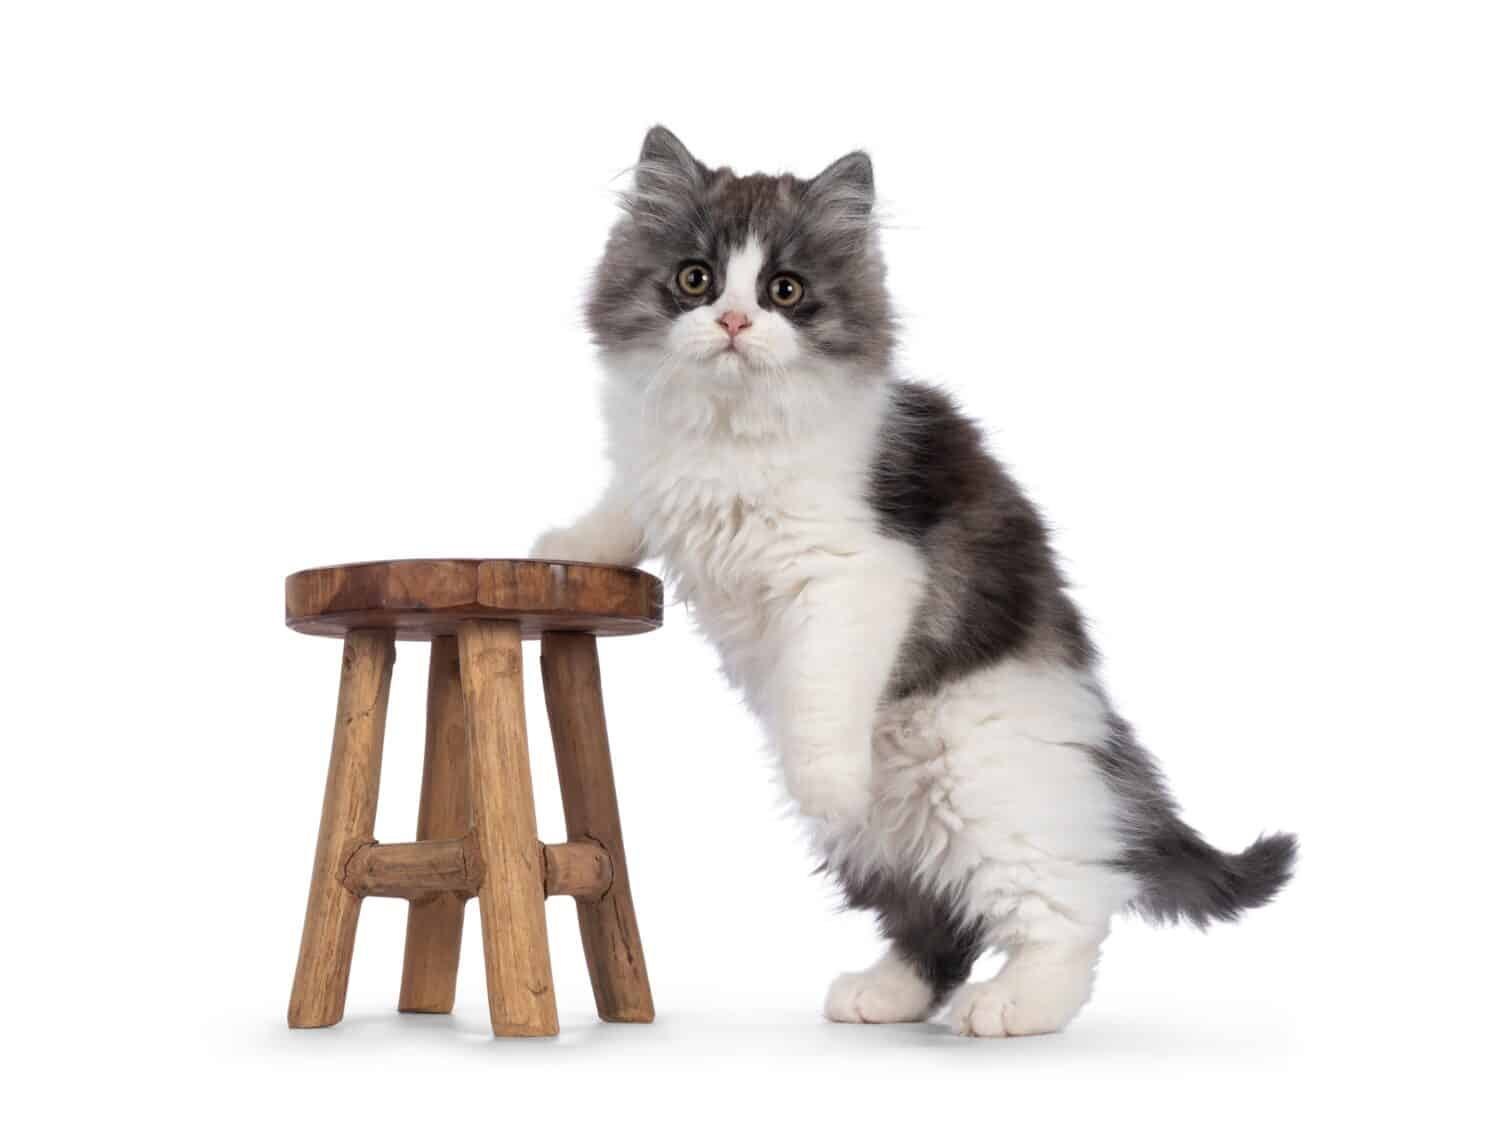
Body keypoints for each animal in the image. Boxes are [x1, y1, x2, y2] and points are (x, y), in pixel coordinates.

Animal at [534, 125, 1296, 1032]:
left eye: (786, 291)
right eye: (695, 279)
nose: (733, 320)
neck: (727, 432)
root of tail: (1097, 725)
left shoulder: (855, 573)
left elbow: (822, 689)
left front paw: (827, 778)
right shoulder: (658, 470)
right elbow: (628, 504)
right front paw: (568, 544)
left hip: (987, 784)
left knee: (1070, 904)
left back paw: (1017, 1003)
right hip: (882, 836)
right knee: (932, 913)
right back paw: (887, 991)